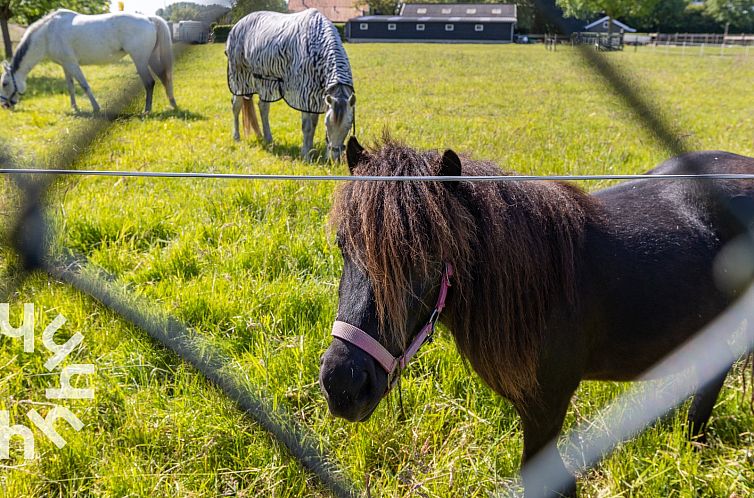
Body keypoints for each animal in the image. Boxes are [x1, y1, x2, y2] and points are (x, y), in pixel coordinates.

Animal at [0, 9, 175, 114]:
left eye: (4, 83)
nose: (5, 105)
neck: (48, 34)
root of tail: (148, 18)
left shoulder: (72, 64)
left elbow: (84, 85)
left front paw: (96, 108)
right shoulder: (66, 66)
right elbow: (71, 87)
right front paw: (75, 109)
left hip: (140, 60)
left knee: (150, 82)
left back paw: (147, 110)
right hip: (150, 58)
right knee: (163, 77)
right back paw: (172, 104)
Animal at [223, 9, 356, 161]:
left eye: (348, 126)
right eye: (327, 124)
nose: (334, 159)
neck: (316, 46)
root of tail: (236, 26)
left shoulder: (316, 98)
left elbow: (313, 124)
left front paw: (311, 149)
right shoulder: (305, 95)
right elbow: (307, 126)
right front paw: (306, 155)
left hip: (265, 83)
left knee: (263, 108)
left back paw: (267, 138)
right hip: (240, 80)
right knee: (236, 106)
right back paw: (237, 137)